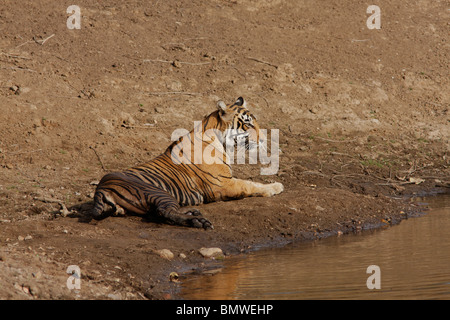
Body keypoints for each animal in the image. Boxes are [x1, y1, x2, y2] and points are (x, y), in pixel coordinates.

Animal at [89, 96, 284, 229]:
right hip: (158, 192)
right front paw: (275, 186)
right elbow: (250, 184)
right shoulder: (222, 184)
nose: (264, 139)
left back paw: (194, 213)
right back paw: (199, 221)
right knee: (165, 212)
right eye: (248, 124)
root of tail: (101, 187)